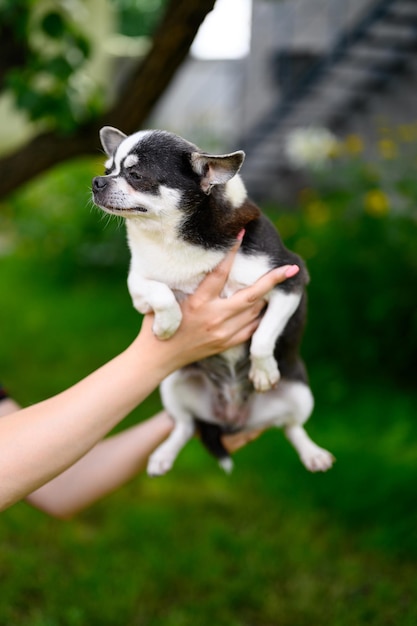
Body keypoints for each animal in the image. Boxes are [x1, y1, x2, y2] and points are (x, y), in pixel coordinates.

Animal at [92, 128, 334, 478]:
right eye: (108, 168)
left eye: (136, 175)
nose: (97, 181)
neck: (171, 238)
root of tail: (232, 419)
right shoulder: (137, 285)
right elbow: (161, 292)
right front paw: (168, 323)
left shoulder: (290, 281)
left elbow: (264, 336)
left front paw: (263, 371)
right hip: (172, 386)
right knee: (184, 426)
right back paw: (163, 455)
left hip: (300, 395)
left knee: (291, 428)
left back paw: (312, 453)